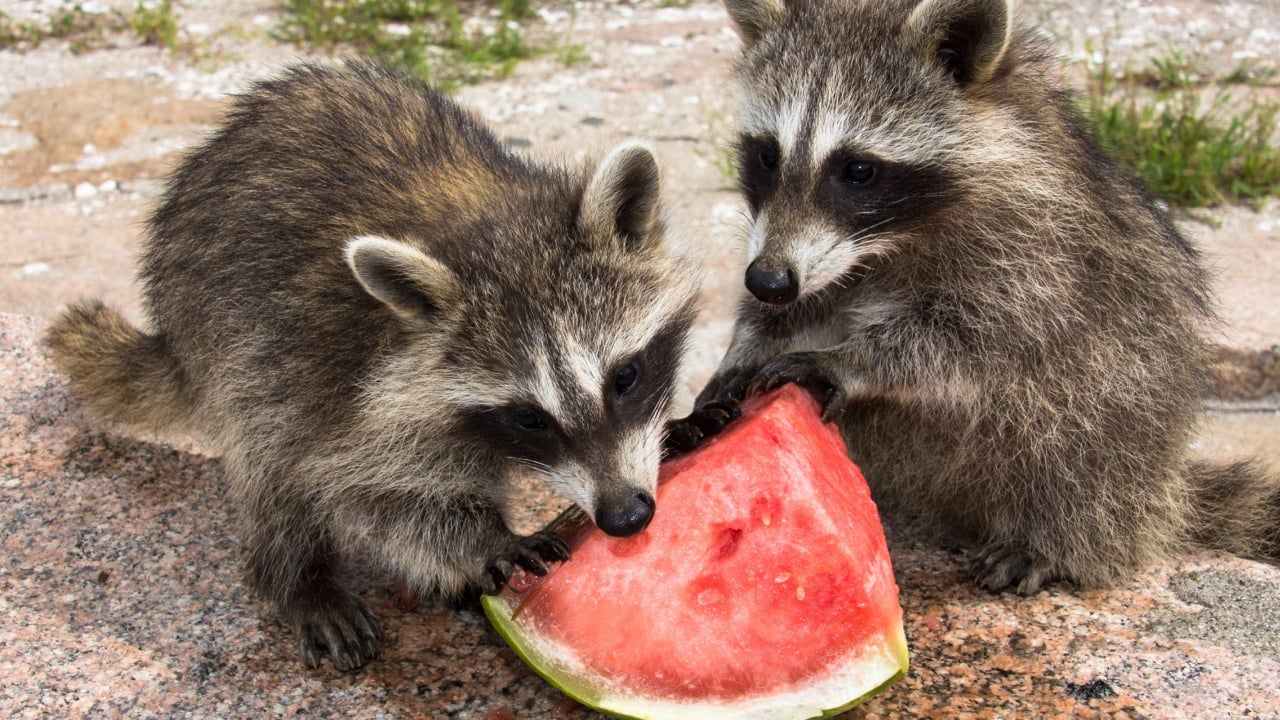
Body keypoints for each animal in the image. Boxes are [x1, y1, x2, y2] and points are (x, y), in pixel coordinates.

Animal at [45, 62, 703, 670]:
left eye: (624, 377)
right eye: (529, 419)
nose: (625, 518)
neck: (491, 219)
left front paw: (680, 423)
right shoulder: (351, 385)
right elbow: (373, 494)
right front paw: (485, 542)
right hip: (224, 336)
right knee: (268, 463)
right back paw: (297, 578)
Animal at [692, 0, 1280, 593]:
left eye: (857, 169)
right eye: (767, 155)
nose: (768, 281)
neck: (887, 243)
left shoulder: (1034, 255)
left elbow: (968, 342)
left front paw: (851, 359)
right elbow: (800, 305)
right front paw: (746, 344)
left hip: (1133, 408)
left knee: (1088, 448)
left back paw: (1059, 539)